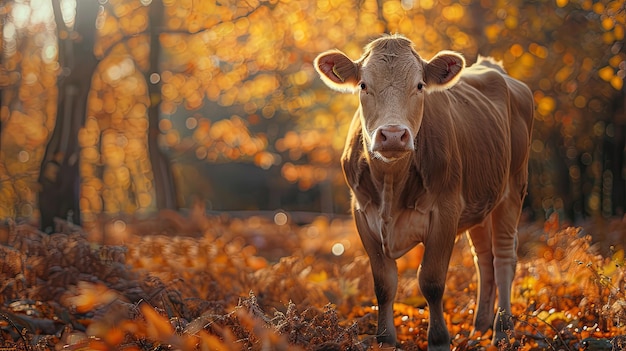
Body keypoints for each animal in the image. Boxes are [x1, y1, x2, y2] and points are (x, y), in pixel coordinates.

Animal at [312, 33, 532, 350]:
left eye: (419, 85)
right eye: (364, 85)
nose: (392, 135)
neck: (391, 184)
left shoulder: (445, 212)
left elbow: (431, 281)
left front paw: (439, 339)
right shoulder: (362, 213)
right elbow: (383, 283)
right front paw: (385, 340)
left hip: (514, 188)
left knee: (504, 257)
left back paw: (502, 331)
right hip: (481, 199)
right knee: (484, 258)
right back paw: (479, 328)